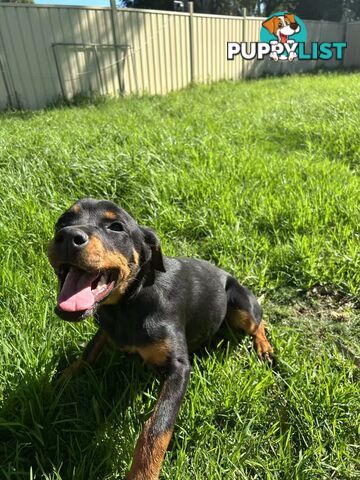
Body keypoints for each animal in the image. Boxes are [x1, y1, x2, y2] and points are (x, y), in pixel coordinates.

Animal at [47, 198, 272, 480]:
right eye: (63, 221)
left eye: (116, 227)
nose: (67, 236)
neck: (128, 304)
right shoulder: (106, 327)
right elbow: (88, 353)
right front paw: (61, 379)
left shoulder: (178, 368)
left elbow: (157, 428)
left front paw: (142, 473)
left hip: (242, 305)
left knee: (259, 321)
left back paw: (264, 347)